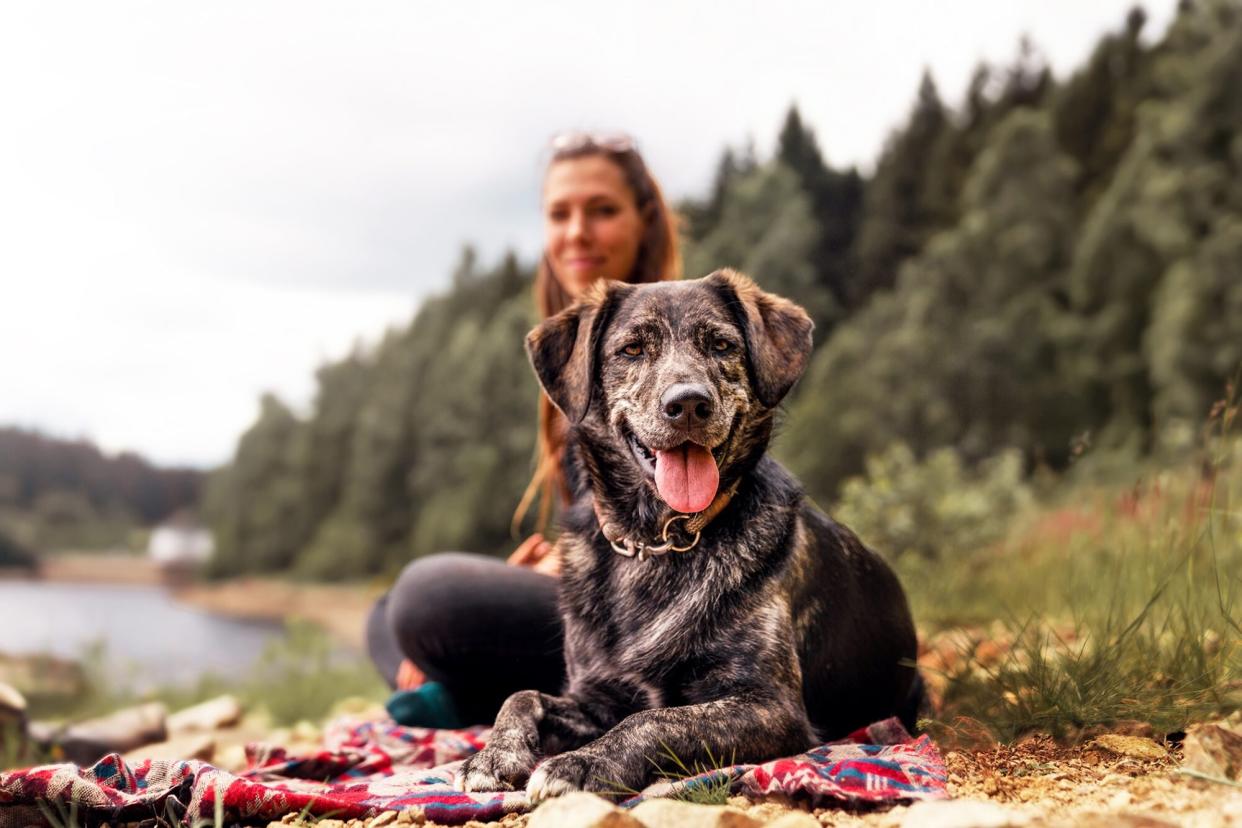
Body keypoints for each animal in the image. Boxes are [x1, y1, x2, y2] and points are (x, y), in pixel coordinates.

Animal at [459, 270, 924, 804]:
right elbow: (521, 696)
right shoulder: (595, 697)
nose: (688, 403)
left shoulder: (771, 707)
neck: (655, 542)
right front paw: (493, 756)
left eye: (721, 344)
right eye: (632, 349)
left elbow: (655, 719)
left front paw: (582, 763)